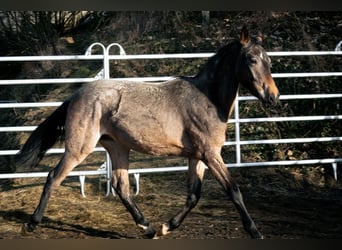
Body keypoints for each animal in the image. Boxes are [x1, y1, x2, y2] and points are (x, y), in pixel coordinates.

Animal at [16, 26, 280, 239]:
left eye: (269, 61)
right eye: (251, 59)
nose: (273, 97)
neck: (207, 99)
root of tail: (77, 95)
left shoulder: (197, 156)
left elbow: (193, 195)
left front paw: (166, 227)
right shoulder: (211, 154)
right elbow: (233, 191)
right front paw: (254, 231)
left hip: (118, 147)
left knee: (121, 186)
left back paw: (148, 228)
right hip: (79, 147)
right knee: (54, 177)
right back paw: (31, 224)